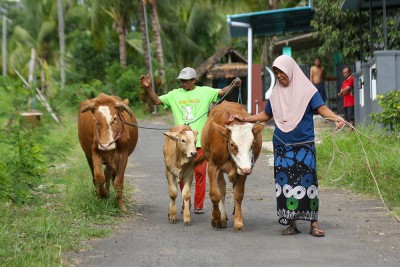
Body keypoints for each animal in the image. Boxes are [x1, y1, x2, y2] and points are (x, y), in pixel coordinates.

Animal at [202, 101, 264, 231]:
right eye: (232, 144)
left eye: (252, 144)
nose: (246, 169)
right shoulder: (212, 166)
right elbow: (215, 194)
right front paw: (216, 218)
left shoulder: (243, 169)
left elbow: (238, 194)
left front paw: (238, 221)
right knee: (222, 189)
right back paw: (222, 217)